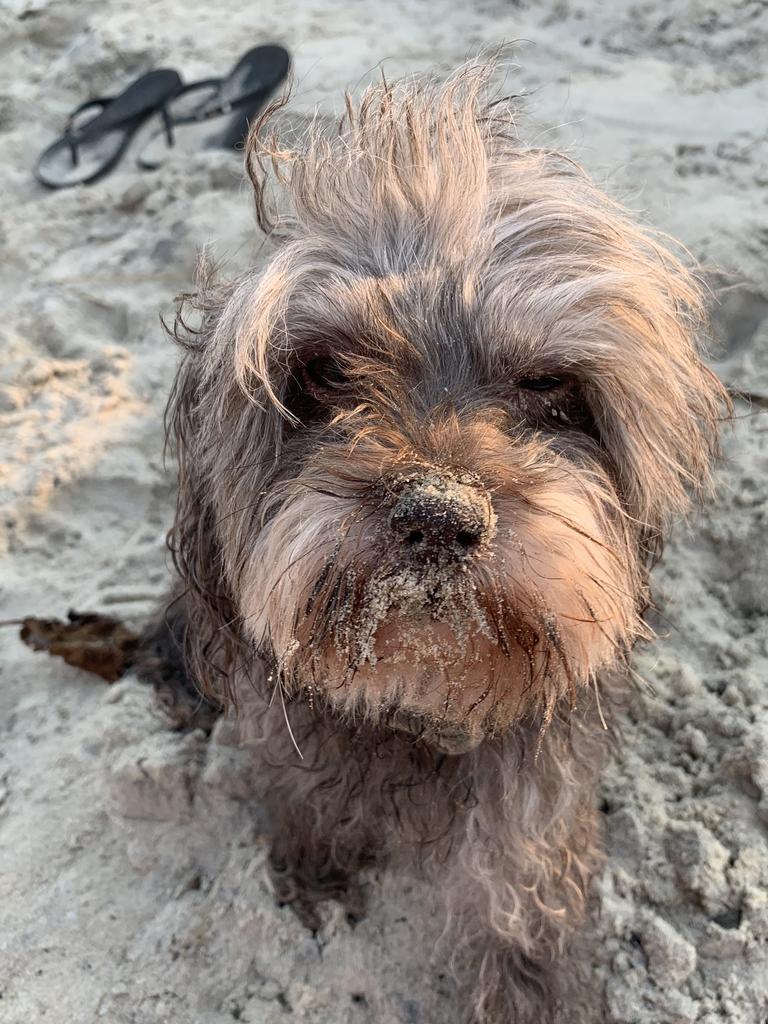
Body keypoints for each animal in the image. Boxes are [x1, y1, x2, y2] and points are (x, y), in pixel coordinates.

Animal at [143, 64, 729, 1024]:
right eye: (324, 371)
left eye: (550, 385)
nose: (437, 515)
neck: (419, 699)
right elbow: (299, 792)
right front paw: (314, 866)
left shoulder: (534, 789)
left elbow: (520, 884)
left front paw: (530, 986)